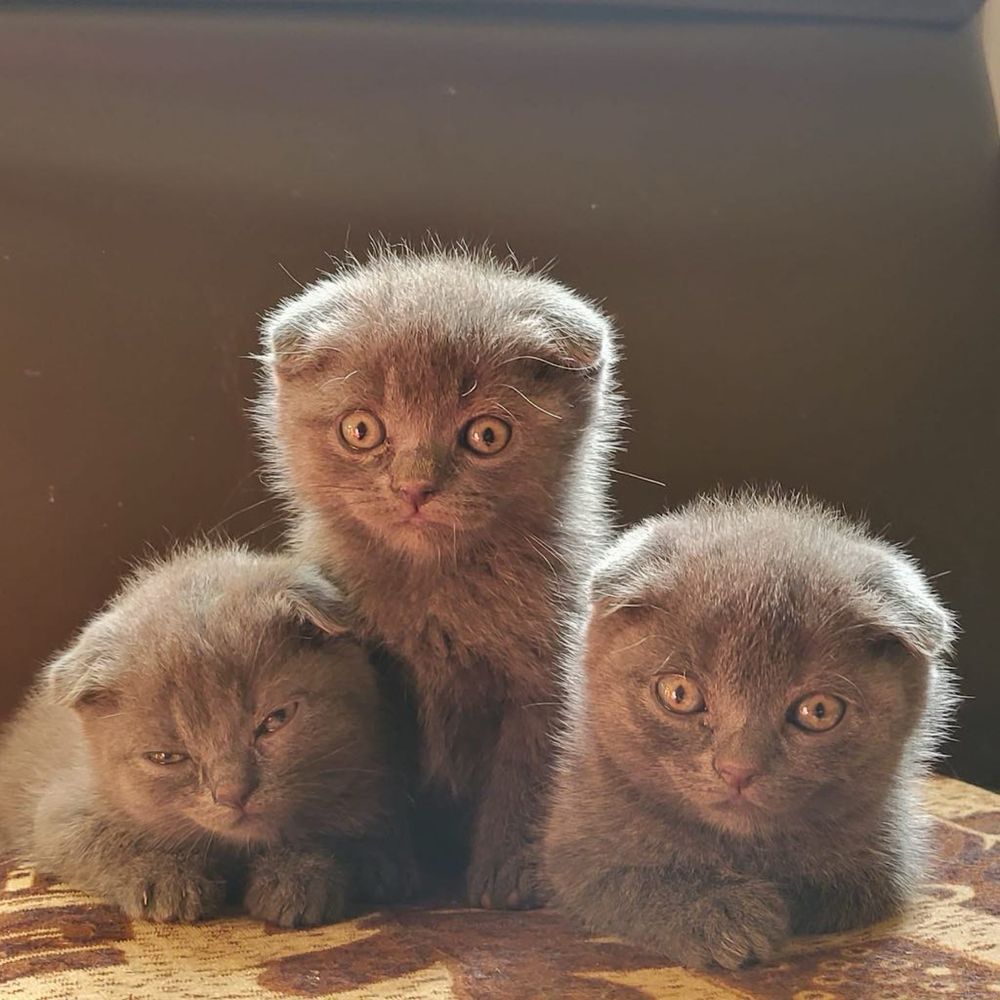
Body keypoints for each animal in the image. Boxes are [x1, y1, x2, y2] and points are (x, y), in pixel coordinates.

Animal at [0, 544, 410, 924]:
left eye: (275, 720)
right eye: (166, 757)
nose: (232, 793)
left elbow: (346, 833)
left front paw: (297, 875)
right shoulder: (60, 813)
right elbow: (96, 844)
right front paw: (164, 876)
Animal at [254, 246, 620, 912]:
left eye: (486, 434)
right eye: (361, 430)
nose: (415, 487)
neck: (437, 594)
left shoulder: (547, 669)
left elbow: (528, 769)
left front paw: (511, 870)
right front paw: (374, 864)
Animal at [544, 492, 956, 968]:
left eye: (818, 711)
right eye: (679, 693)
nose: (737, 769)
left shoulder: (883, 861)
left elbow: (844, 887)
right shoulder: (576, 844)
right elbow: (624, 881)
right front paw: (722, 913)